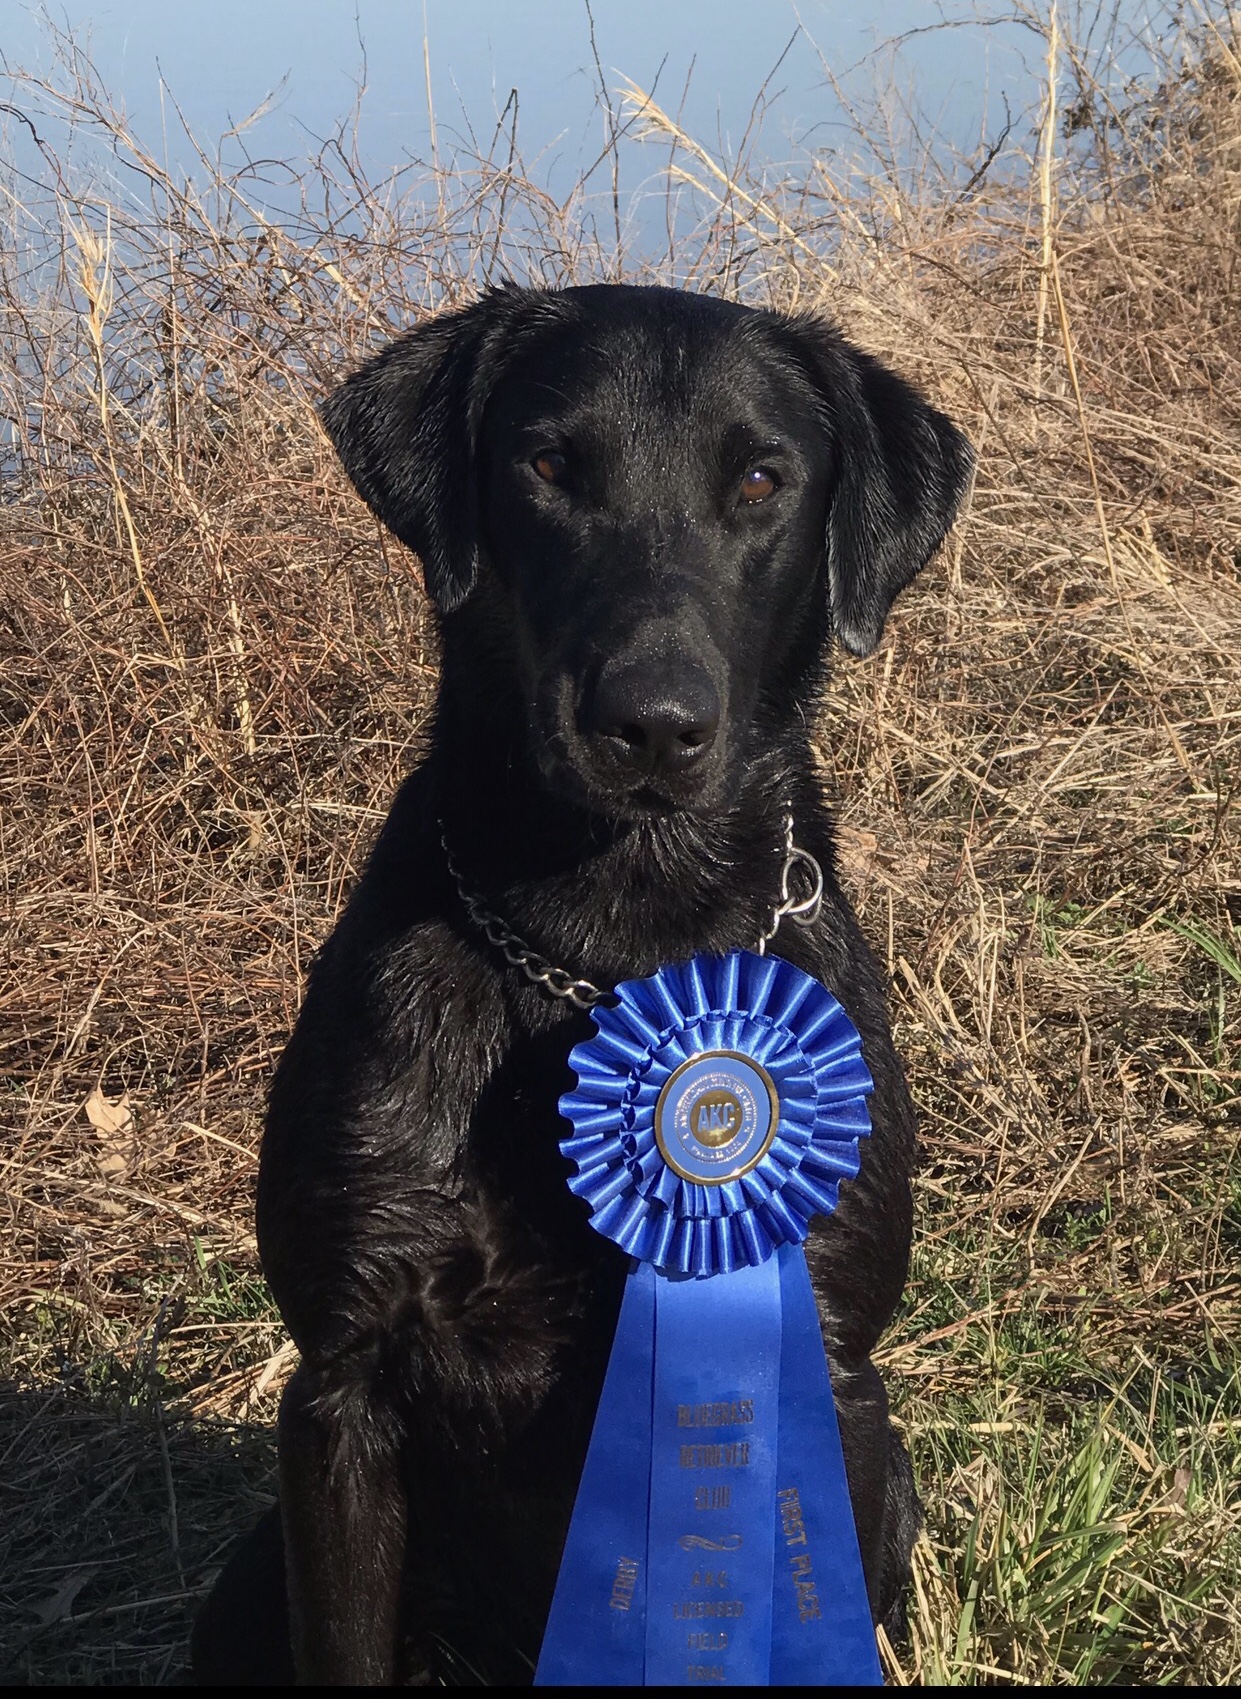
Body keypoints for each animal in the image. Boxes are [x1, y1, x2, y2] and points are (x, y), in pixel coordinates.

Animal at [191, 285, 965, 1678]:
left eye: (761, 478)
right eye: (547, 465)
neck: (605, 947)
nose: (650, 722)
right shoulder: (341, 1387)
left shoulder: (827, 1371)